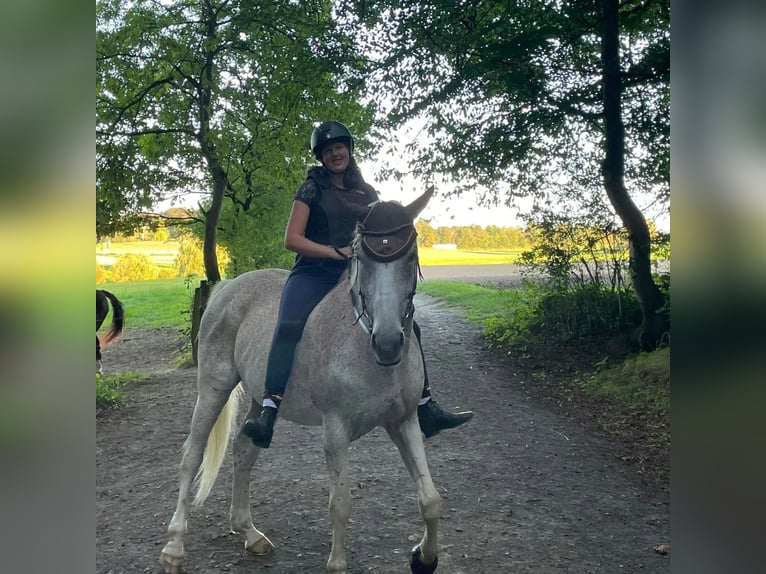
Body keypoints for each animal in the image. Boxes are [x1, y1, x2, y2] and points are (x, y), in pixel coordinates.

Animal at [159, 192, 440, 574]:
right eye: (363, 259)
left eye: (410, 256)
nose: (387, 343)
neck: (365, 349)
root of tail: (227, 287)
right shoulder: (335, 431)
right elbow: (340, 504)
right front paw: (337, 564)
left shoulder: (404, 421)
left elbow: (430, 499)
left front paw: (424, 558)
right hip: (213, 388)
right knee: (192, 454)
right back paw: (174, 548)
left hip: (259, 399)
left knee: (244, 448)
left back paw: (250, 534)